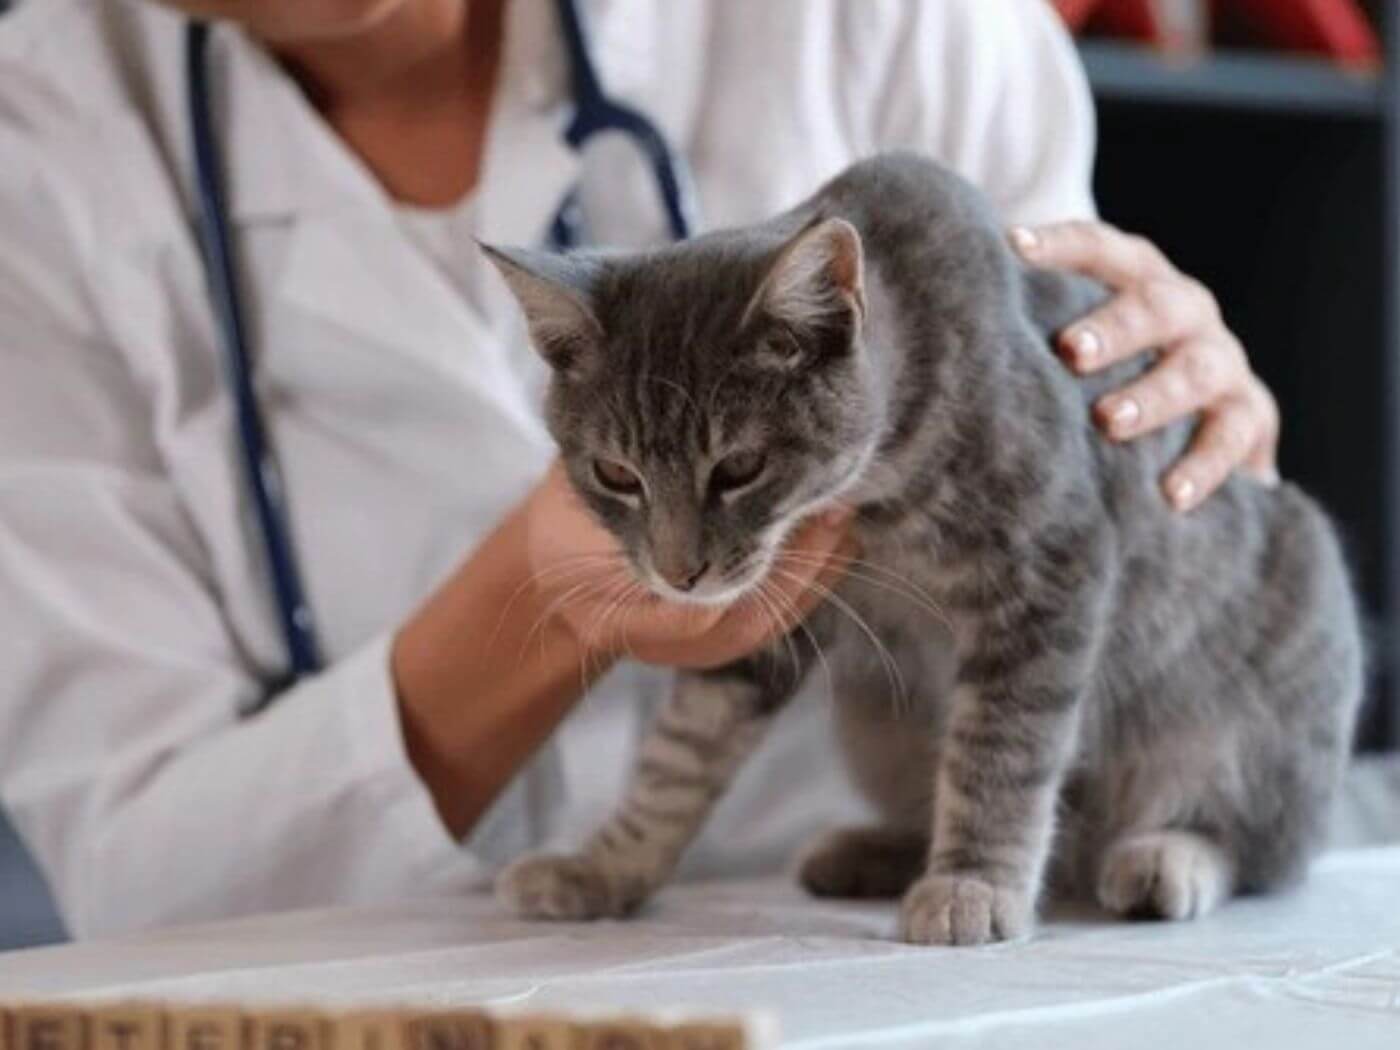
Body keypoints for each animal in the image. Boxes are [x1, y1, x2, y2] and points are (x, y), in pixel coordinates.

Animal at [478, 151, 1355, 952]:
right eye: (615, 475)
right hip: (877, 725)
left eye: (738, 468)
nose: (677, 572)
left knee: (1265, 843)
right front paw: (604, 867)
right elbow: (679, 756)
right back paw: (871, 850)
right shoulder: (769, 623)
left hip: (1264, 693)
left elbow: (1000, 751)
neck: (878, 498)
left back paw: (1168, 856)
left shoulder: (1051, 569)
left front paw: (974, 883)